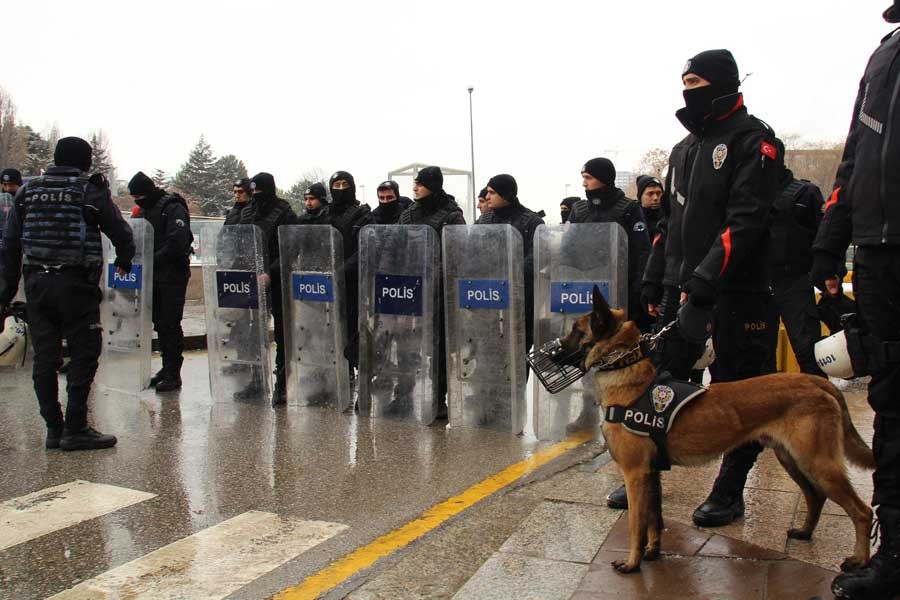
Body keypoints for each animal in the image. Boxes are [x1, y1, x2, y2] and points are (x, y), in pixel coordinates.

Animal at [560, 288, 876, 576]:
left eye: (575, 330)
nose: (550, 348)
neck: (629, 378)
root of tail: (817, 382)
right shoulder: (652, 473)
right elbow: (653, 519)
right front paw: (652, 553)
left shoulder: (635, 473)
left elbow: (636, 522)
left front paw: (632, 563)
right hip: (793, 459)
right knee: (815, 496)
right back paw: (805, 532)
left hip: (818, 463)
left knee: (862, 512)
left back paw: (859, 561)